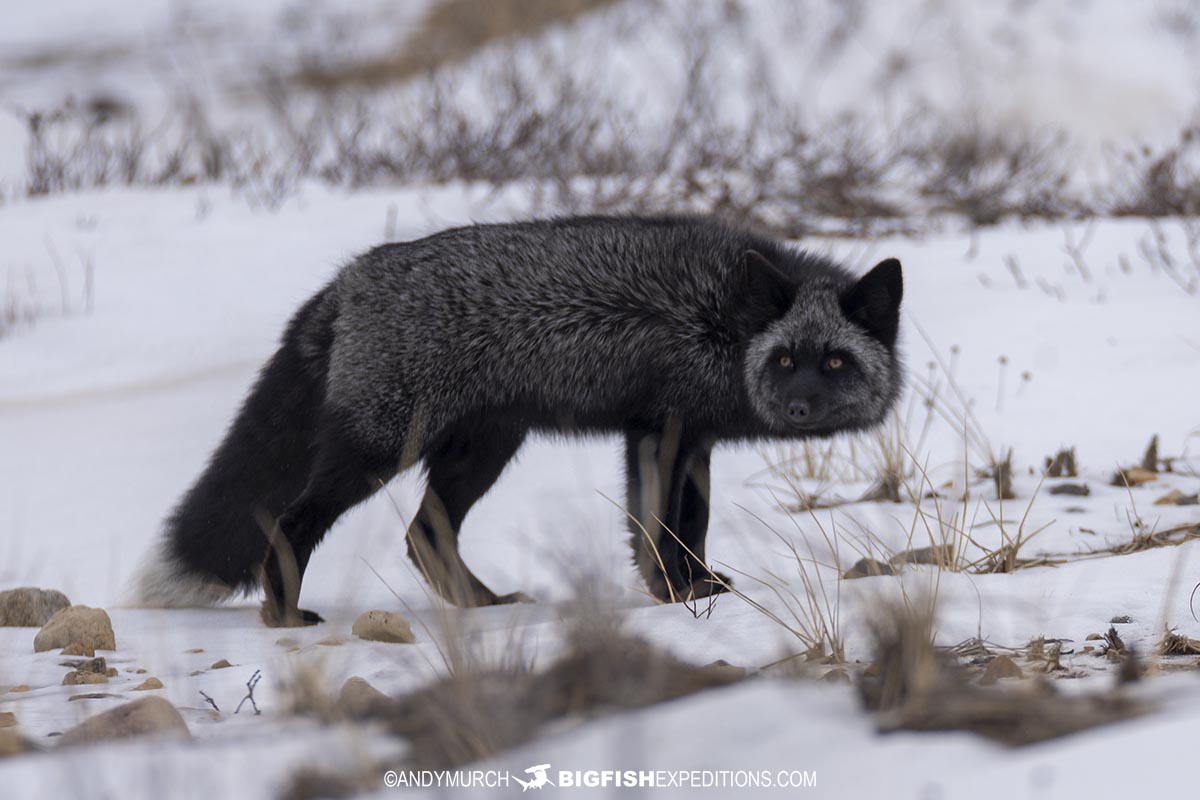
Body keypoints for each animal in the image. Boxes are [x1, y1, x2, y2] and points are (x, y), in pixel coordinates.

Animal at [133, 215, 903, 626]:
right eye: (785, 361)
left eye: (835, 362)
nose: (799, 407)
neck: (726, 322)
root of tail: (349, 278)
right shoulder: (661, 433)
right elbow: (658, 528)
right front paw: (674, 594)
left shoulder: (689, 439)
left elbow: (692, 526)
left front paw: (696, 586)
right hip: (379, 450)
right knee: (294, 523)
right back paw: (284, 615)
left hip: (485, 447)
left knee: (424, 535)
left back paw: (481, 604)